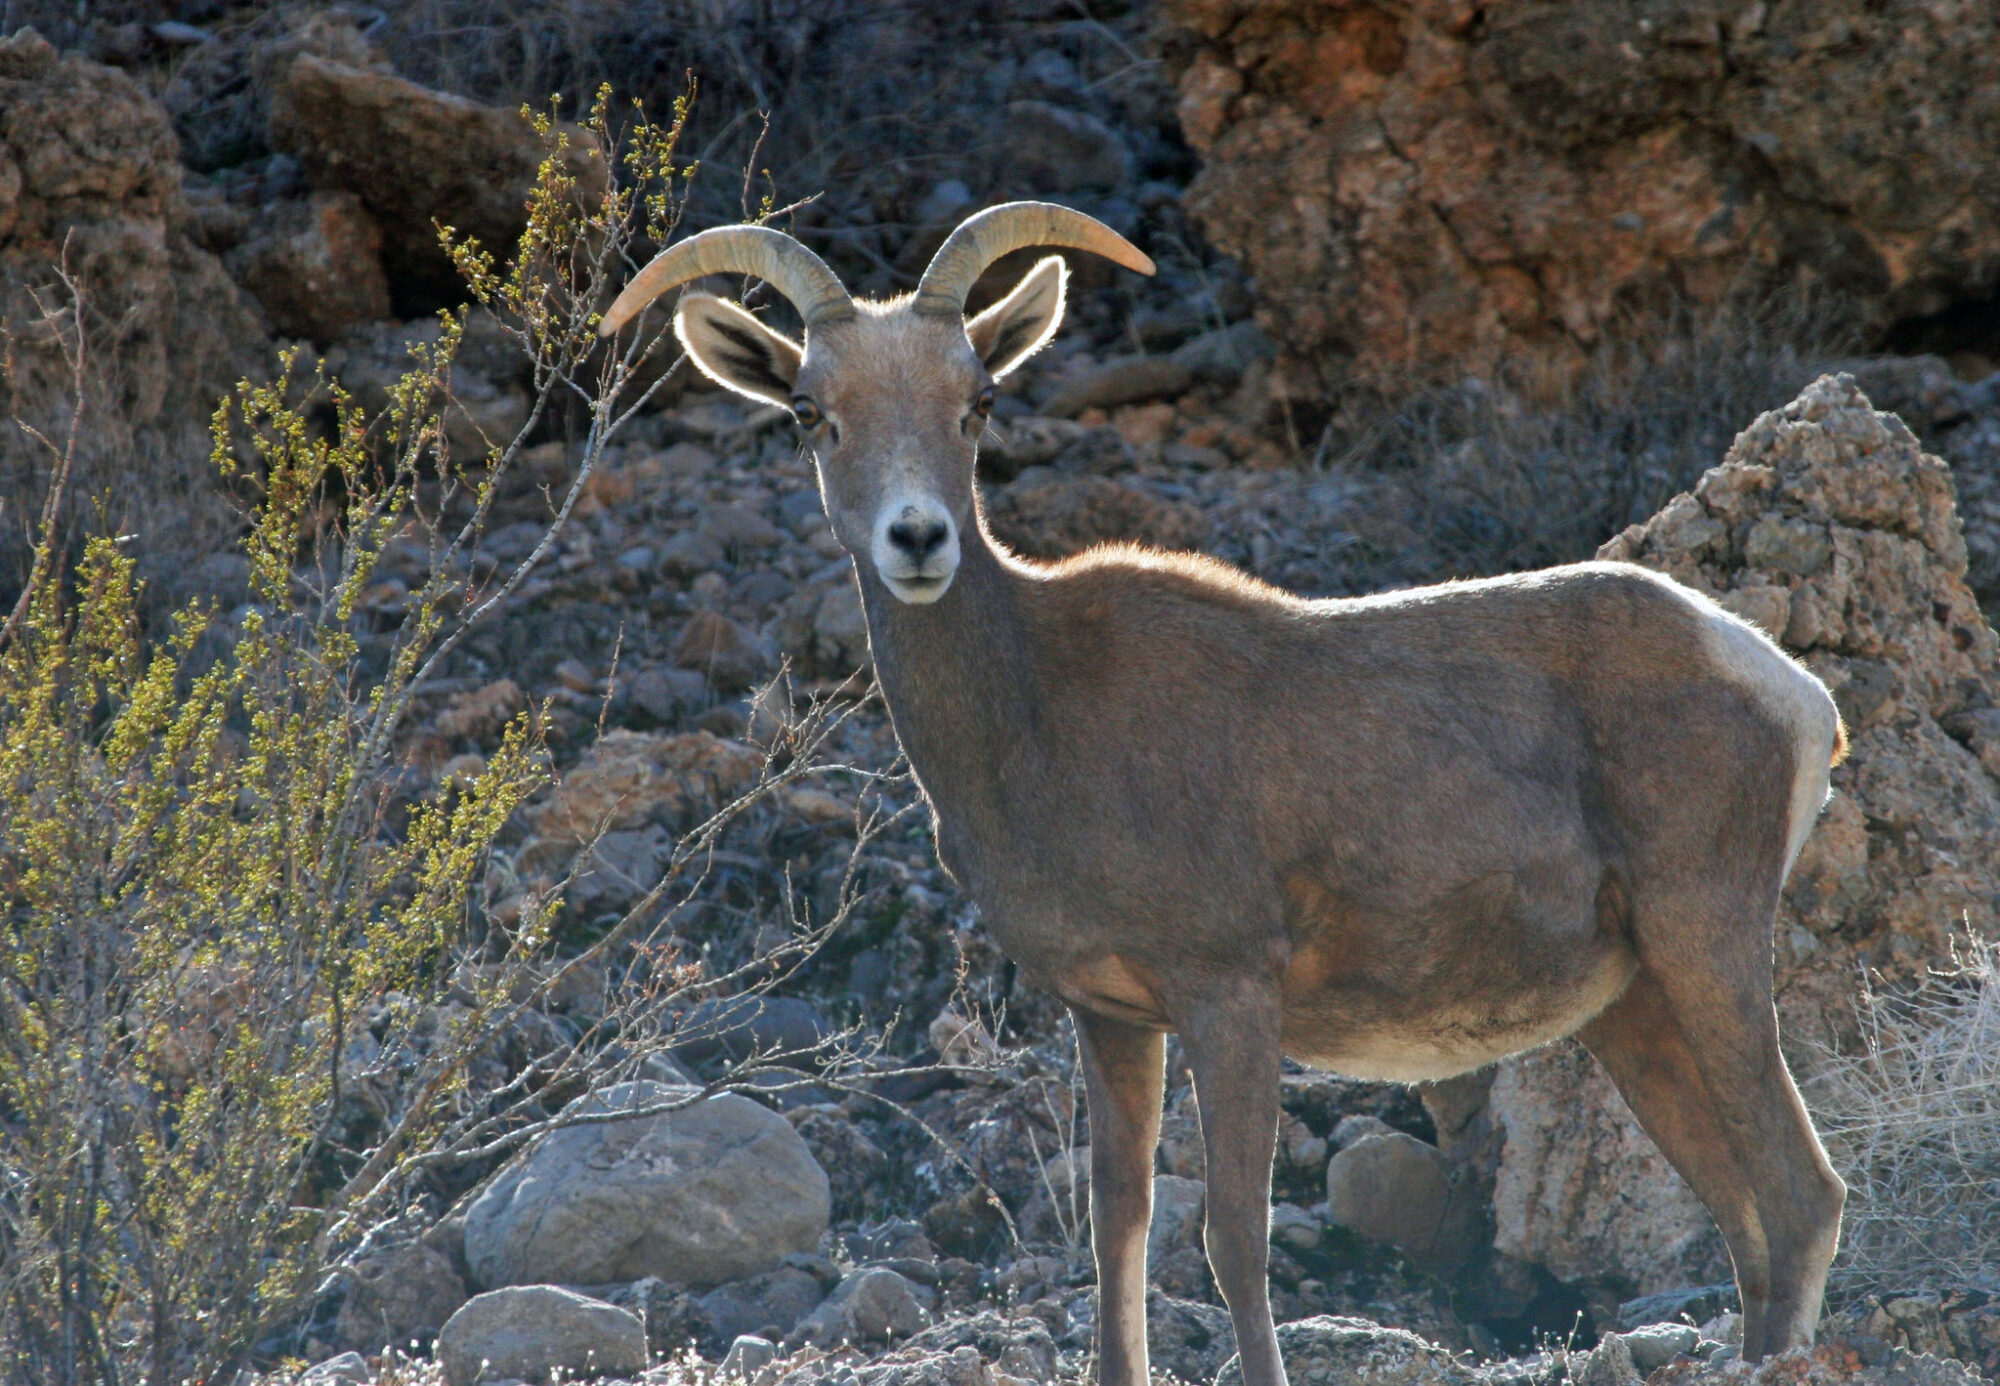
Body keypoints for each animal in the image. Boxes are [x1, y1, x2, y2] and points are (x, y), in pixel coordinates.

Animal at [600, 200, 1848, 1376]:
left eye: (976, 401)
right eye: (810, 411)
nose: (918, 539)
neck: (1036, 713)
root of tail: (1783, 689)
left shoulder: (1230, 998)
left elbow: (1231, 1244)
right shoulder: (1108, 1015)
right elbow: (1118, 1231)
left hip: (1703, 948)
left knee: (1799, 1199)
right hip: (1634, 1009)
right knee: (1744, 1220)